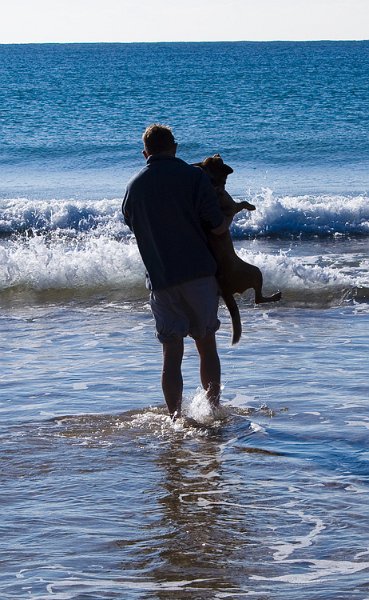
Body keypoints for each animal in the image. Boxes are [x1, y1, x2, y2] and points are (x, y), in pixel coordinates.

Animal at [194, 152, 280, 344]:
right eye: (216, 160)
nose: (218, 153)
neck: (213, 183)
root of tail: (225, 289)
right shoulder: (231, 207)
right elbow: (241, 203)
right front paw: (251, 206)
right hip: (255, 272)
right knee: (258, 299)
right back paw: (274, 296)